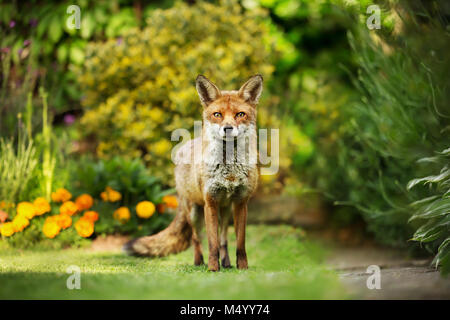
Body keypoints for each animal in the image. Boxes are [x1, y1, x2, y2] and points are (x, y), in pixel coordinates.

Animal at [124, 74, 264, 270]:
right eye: (217, 114)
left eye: (240, 114)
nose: (228, 128)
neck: (229, 170)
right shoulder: (210, 202)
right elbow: (212, 244)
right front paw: (213, 268)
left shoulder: (241, 202)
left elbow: (239, 244)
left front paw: (242, 268)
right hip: (194, 212)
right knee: (196, 239)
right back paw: (199, 263)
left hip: (226, 210)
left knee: (224, 240)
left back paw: (226, 263)